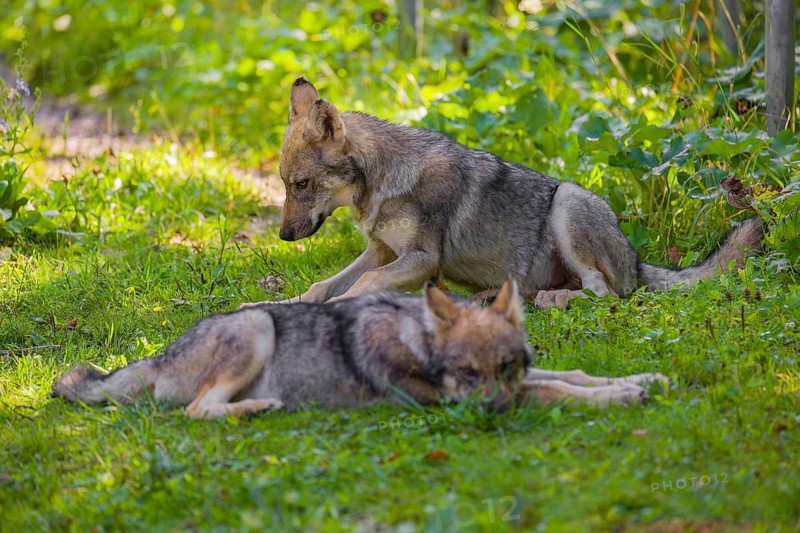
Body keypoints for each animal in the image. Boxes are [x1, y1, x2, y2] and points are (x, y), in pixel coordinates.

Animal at [269, 77, 763, 308]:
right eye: (285, 184)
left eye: (302, 185)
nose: (283, 237)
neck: (384, 182)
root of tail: (637, 260)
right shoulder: (380, 252)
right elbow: (320, 285)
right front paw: (277, 304)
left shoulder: (420, 259)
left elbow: (361, 286)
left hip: (568, 203)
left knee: (606, 294)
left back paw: (554, 299)